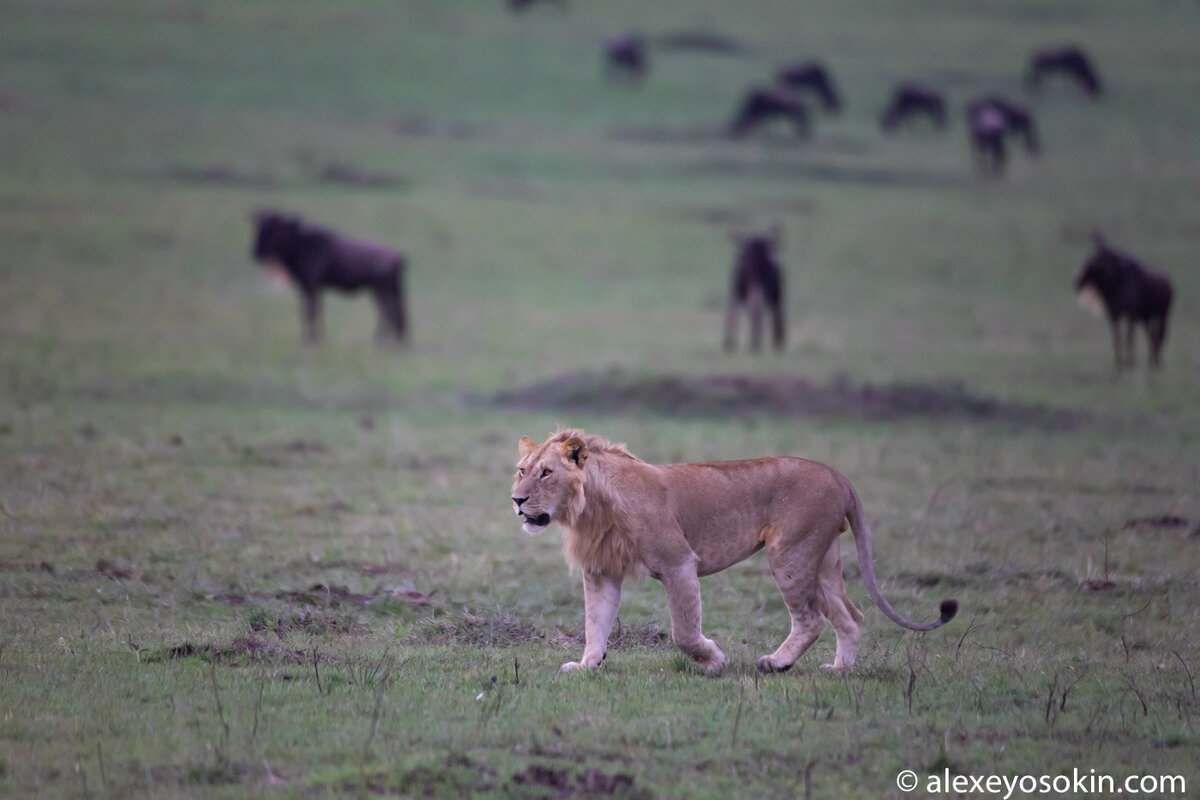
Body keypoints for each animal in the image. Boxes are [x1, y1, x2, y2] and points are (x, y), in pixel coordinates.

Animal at [511, 429, 960, 671]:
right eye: (521, 470)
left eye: (546, 473)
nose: (516, 500)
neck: (591, 506)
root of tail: (839, 476)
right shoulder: (601, 572)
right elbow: (595, 624)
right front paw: (586, 666)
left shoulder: (678, 562)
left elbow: (684, 631)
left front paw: (714, 661)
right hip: (824, 559)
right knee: (850, 617)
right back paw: (838, 671)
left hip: (789, 553)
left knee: (812, 619)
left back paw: (777, 663)